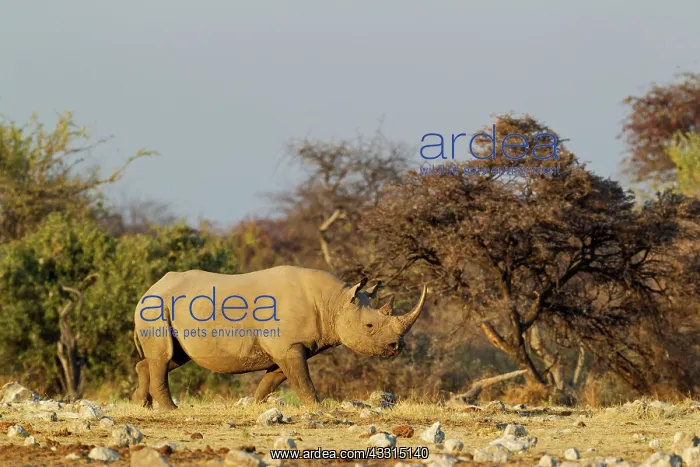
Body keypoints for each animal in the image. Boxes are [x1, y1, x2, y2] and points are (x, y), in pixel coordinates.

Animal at [132, 265, 427, 409]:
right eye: (369, 325)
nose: (396, 347)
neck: (335, 302)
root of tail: (148, 290)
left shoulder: (290, 346)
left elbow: (275, 379)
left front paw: (256, 405)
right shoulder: (288, 345)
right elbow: (302, 379)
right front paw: (317, 407)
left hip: (165, 308)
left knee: (173, 357)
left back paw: (141, 404)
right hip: (156, 308)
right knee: (164, 357)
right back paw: (171, 409)